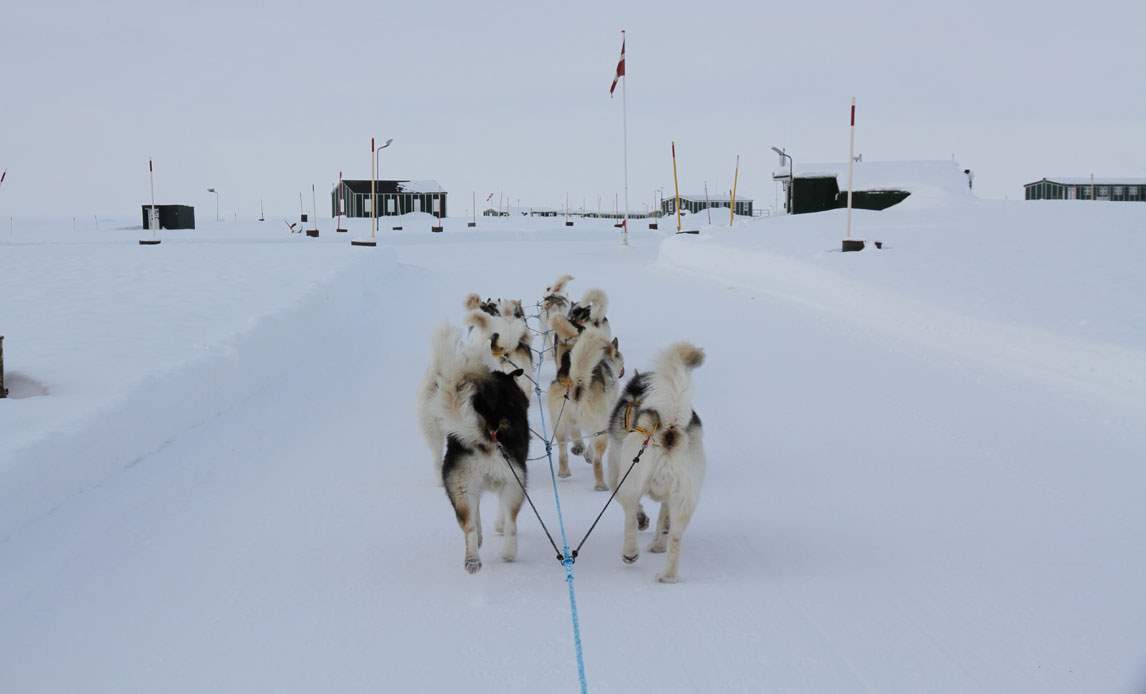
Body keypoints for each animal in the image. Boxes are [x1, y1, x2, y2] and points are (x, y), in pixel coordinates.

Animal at [419, 325, 529, 577]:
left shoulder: (473, 490)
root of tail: (485, 435)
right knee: (511, 521)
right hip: (514, 484)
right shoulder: (509, 482)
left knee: (468, 526)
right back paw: (509, 552)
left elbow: (476, 516)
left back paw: (472, 559)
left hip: (460, 488)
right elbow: (501, 515)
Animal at [547, 325, 628, 490]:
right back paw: (600, 484)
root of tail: (577, 383)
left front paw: (579, 448)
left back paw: (565, 470)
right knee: (597, 460)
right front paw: (587, 454)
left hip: (560, 425)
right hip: (600, 428)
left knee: (563, 451)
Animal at [609, 345, 705, 584]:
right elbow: (663, 517)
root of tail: (669, 428)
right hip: (684, 497)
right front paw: (659, 541)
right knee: (676, 536)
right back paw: (667, 574)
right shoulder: (669, 498)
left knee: (630, 516)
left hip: (631, 481)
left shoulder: (616, 477)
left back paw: (630, 553)